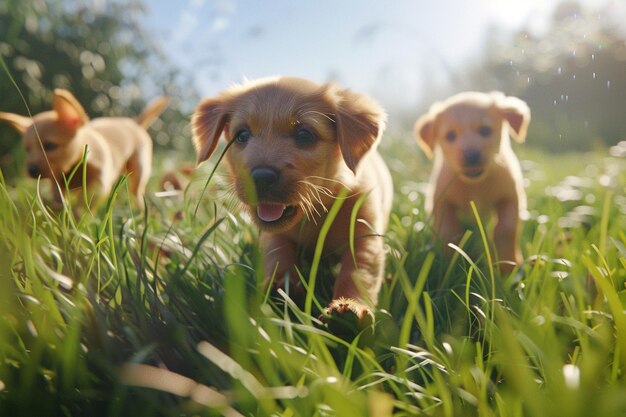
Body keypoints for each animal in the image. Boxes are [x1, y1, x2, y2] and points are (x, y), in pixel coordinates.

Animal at [0, 88, 167, 204]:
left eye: (49, 146)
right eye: (27, 150)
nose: (31, 170)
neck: (74, 167)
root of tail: (135, 123)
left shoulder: (98, 187)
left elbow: (83, 208)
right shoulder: (57, 186)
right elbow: (60, 203)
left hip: (139, 169)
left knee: (137, 192)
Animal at [193, 76, 392, 320]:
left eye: (304, 134)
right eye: (242, 135)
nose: (261, 178)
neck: (317, 210)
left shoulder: (364, 237)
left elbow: (357, 273)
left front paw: (349, 308)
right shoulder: (273, 235)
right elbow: (278, 254)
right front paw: (281, 289)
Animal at [412, 91, 528, 270]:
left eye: (485, 130)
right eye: (450, 135)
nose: (472, 156)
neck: (475, 185)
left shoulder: (510, 197)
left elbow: (506, 229)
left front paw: (508, 264)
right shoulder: (442, 201)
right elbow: (448, 231)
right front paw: (449, 263)